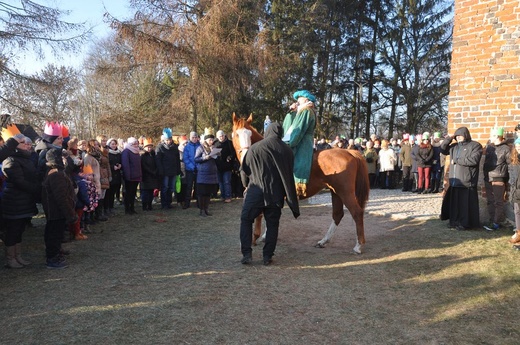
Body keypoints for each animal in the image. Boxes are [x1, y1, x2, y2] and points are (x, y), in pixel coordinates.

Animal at [232, 113, 370, 253]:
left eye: (249, 134)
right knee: (337, 214)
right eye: (237, 134)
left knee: (357, 213)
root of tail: (349, 152)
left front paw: (257, 236)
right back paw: (324, 241)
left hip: (345, 192)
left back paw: (359, 245)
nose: (246, 156)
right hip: (335, 192)